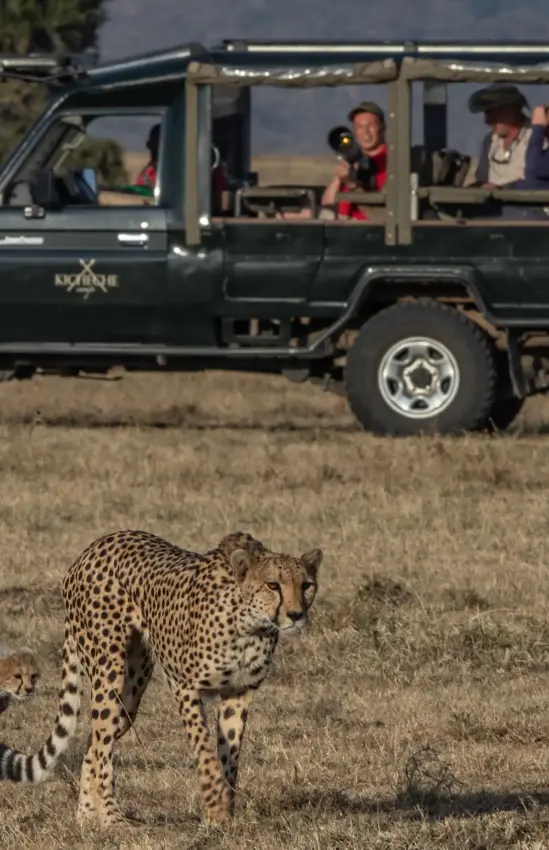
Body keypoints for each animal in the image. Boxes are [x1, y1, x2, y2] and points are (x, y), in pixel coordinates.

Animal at [0, 528, 322, 829]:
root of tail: (91, 549)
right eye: (273, 585)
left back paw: (87, 817)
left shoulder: (239, 692)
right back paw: (112, 819)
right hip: (109, 672)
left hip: (130, 695)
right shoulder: (185, 687)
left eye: (307, 585)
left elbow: (229, 756)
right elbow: (205, 751)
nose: (296, 615)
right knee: (101, 744)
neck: (249, 625)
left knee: (94, 743)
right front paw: (216, 806)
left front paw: (223, 812)